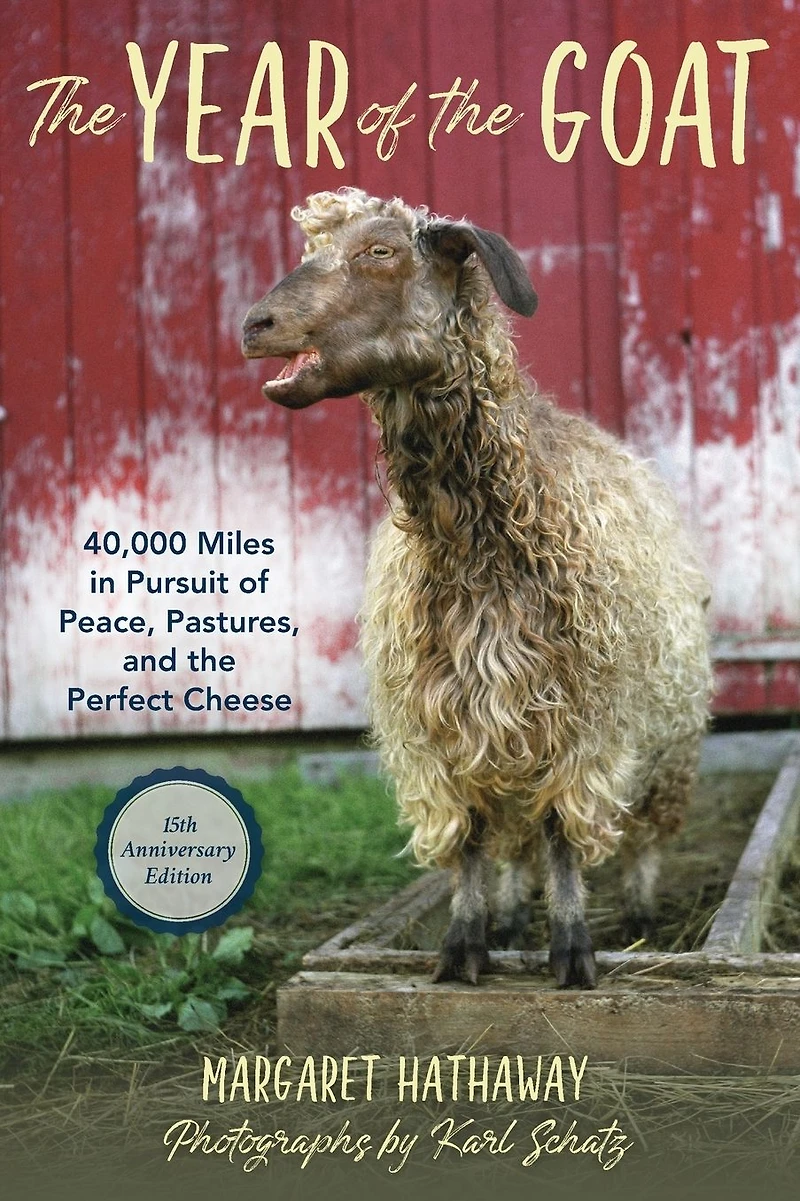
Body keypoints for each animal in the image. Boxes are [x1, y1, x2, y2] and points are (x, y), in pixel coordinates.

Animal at [242, 188, 712, 989]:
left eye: (380, 251)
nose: (254, 326)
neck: (479, 543)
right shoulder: (438, 722)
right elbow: (467, 838)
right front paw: (464, 945)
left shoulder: (579, 717)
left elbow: (563, 833)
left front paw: (573, 950)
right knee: (512, 839)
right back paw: (514, 912)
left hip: (669, 741)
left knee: (640, 835)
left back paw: (639, 914)